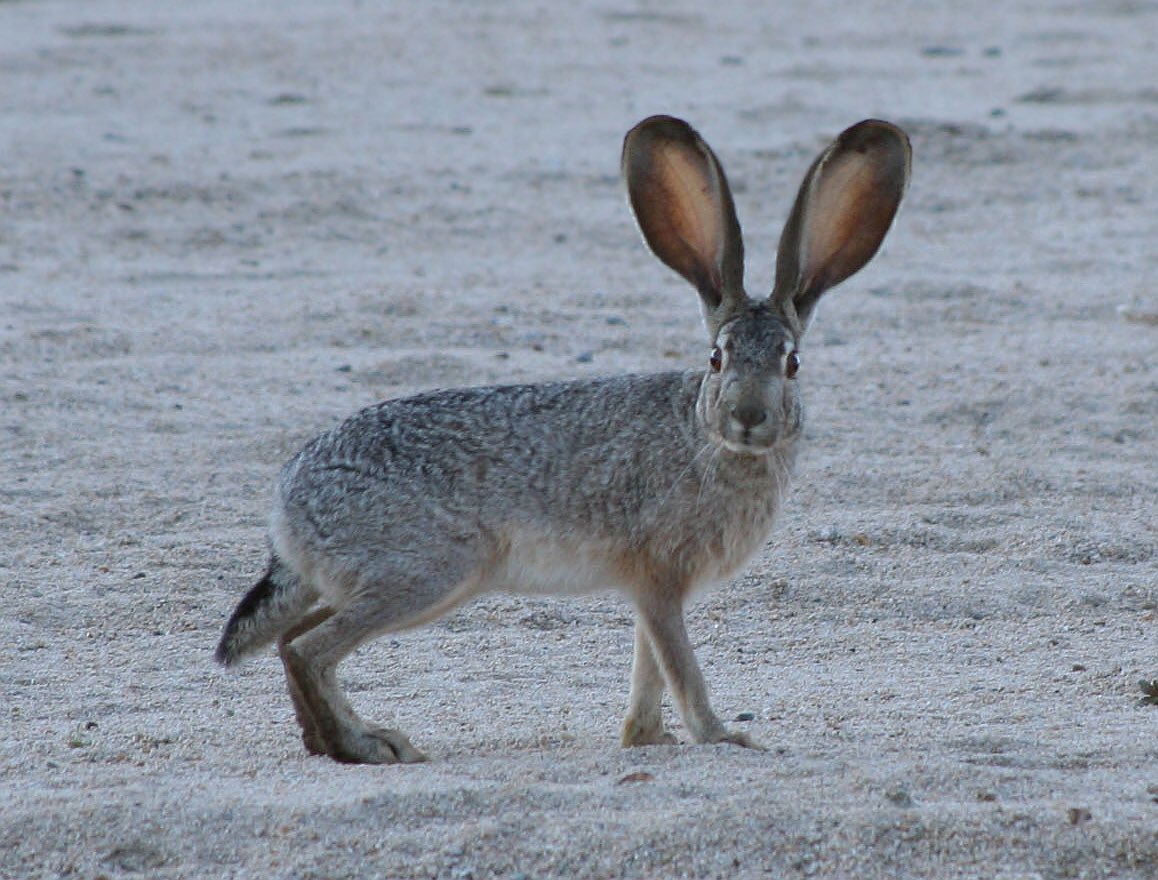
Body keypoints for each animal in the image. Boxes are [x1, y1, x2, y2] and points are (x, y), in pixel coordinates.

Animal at [215, 114, 911, 764]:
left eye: (792, 363)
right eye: (717, 358)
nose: (747, 416)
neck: (706, 436)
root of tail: (285, 509)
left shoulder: (649, 589)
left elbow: (650, 663)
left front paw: (645, 738)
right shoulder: (659, 575)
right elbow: (679, 665)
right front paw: (719, 737)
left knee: (290, 641)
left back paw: (332, 740)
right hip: (430, 571)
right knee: (311, 648)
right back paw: (369, 744)